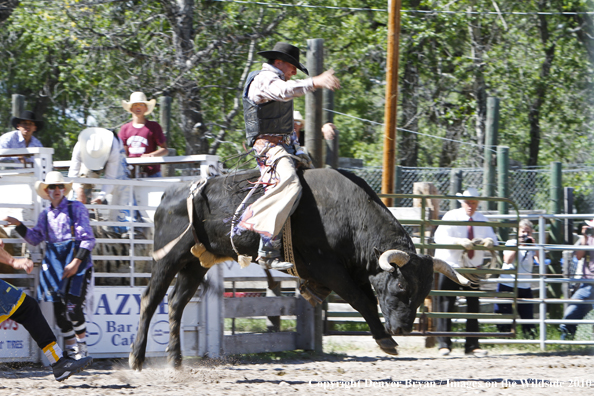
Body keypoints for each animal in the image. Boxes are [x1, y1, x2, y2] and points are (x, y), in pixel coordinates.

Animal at [128, 166, 468, 370]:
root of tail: (170, 194)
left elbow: (366, 297)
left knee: (176, 303)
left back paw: (175, 359)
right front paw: (386, 340)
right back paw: (136, 357)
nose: (404, 328)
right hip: (167, 258)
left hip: (196, 263)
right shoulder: (327, 267)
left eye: (424, 291)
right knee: (149, 300)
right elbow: (362, 300)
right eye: (400, 286)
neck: (348, 214)